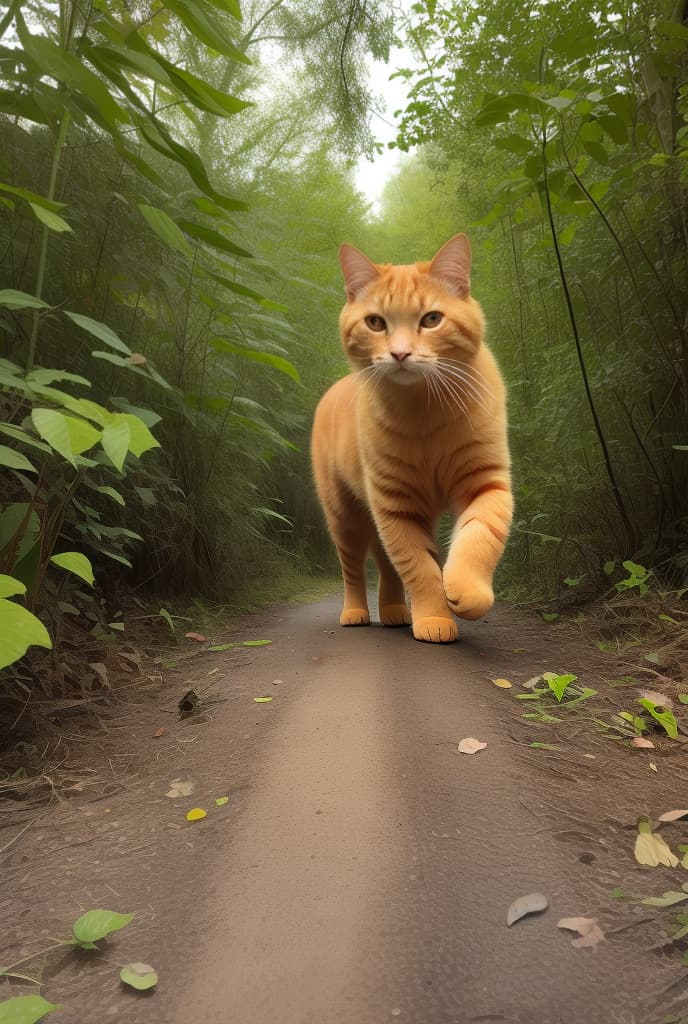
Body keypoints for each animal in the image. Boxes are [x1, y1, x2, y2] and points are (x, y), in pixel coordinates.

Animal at [311, 235, 509, 643]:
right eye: (375, 322)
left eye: (432, 319)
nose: (400, 353)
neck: (425, 409)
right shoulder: (396, 505)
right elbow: (419, 568)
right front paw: (434, 618)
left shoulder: (486, 481)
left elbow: (480, 535)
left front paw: (467, 591)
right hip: (345, 516)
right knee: (354, 570)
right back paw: (356, 612)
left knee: (387, 569)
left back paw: (393, 611)